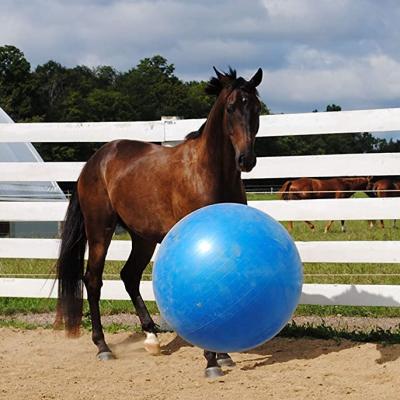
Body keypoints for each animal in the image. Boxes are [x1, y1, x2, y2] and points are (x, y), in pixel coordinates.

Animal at [54, 66, 264, 378]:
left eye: (256, 108)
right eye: (230, 108)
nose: (246, 160)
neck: (208, 171)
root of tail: (94, 162)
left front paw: (223, 355)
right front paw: (211, 361)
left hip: (143, 237)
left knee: (129, 276)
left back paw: (151, 337)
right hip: (100, 230)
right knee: (92, 279)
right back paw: (103, 347)